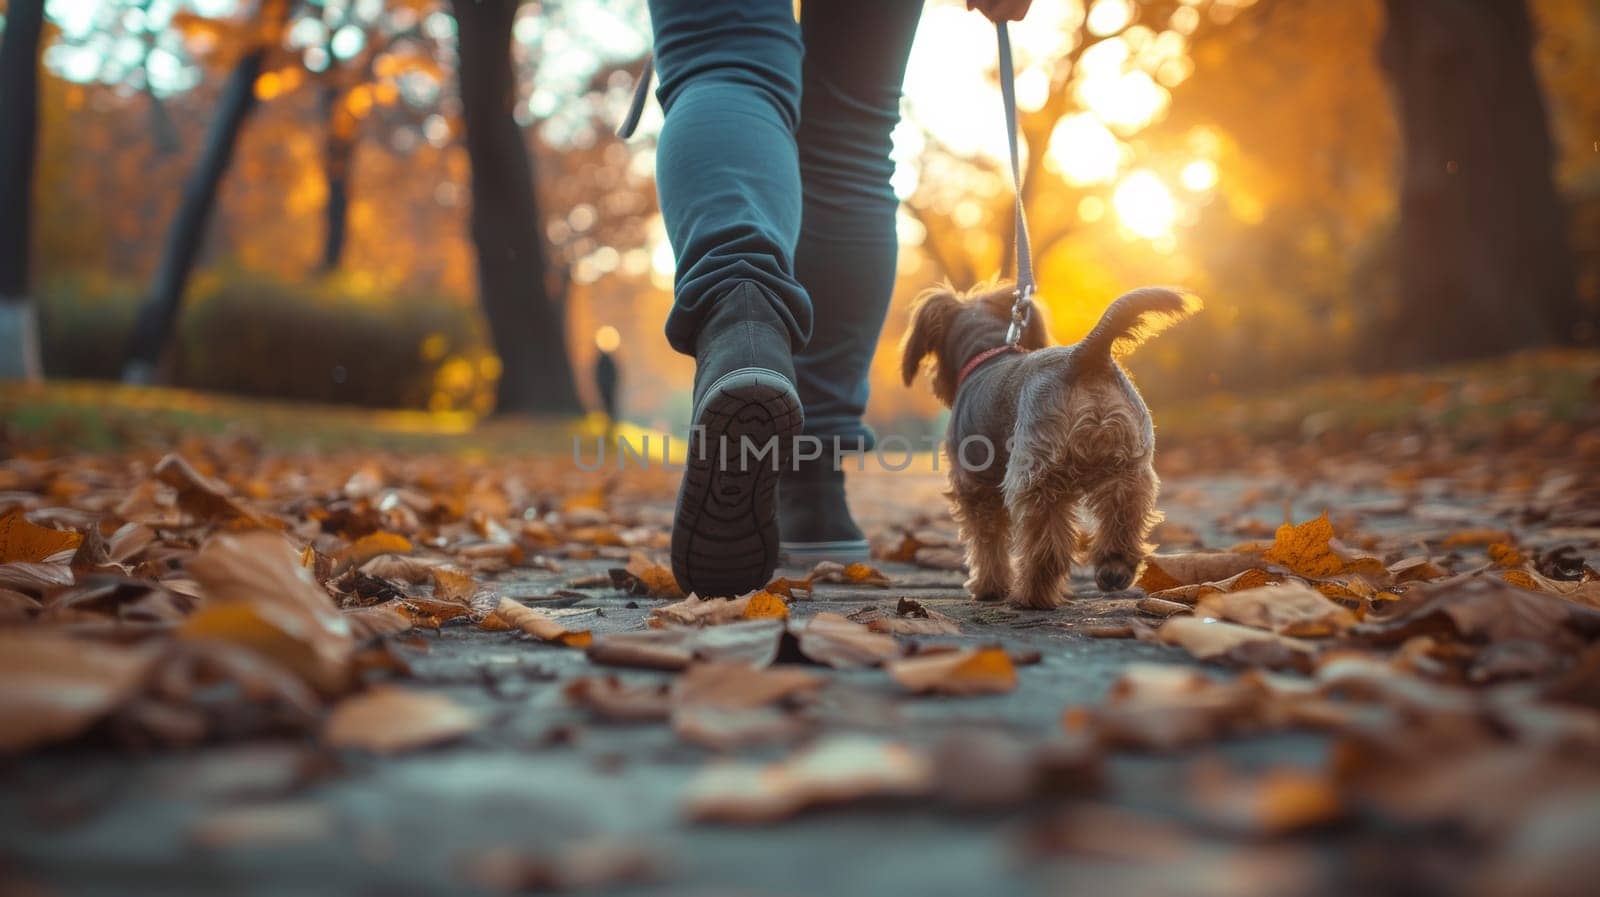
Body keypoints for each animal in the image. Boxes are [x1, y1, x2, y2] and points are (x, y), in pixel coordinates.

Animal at [902, 284, 1203, 607]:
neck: (987, 352)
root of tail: (1085, 355)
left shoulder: (975, 487)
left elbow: (987, 543)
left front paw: (988, 587)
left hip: (1038, 478)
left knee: (1046, 550)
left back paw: (1030, 596)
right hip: (1129, 471)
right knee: (1123, 521)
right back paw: (1114, 568)